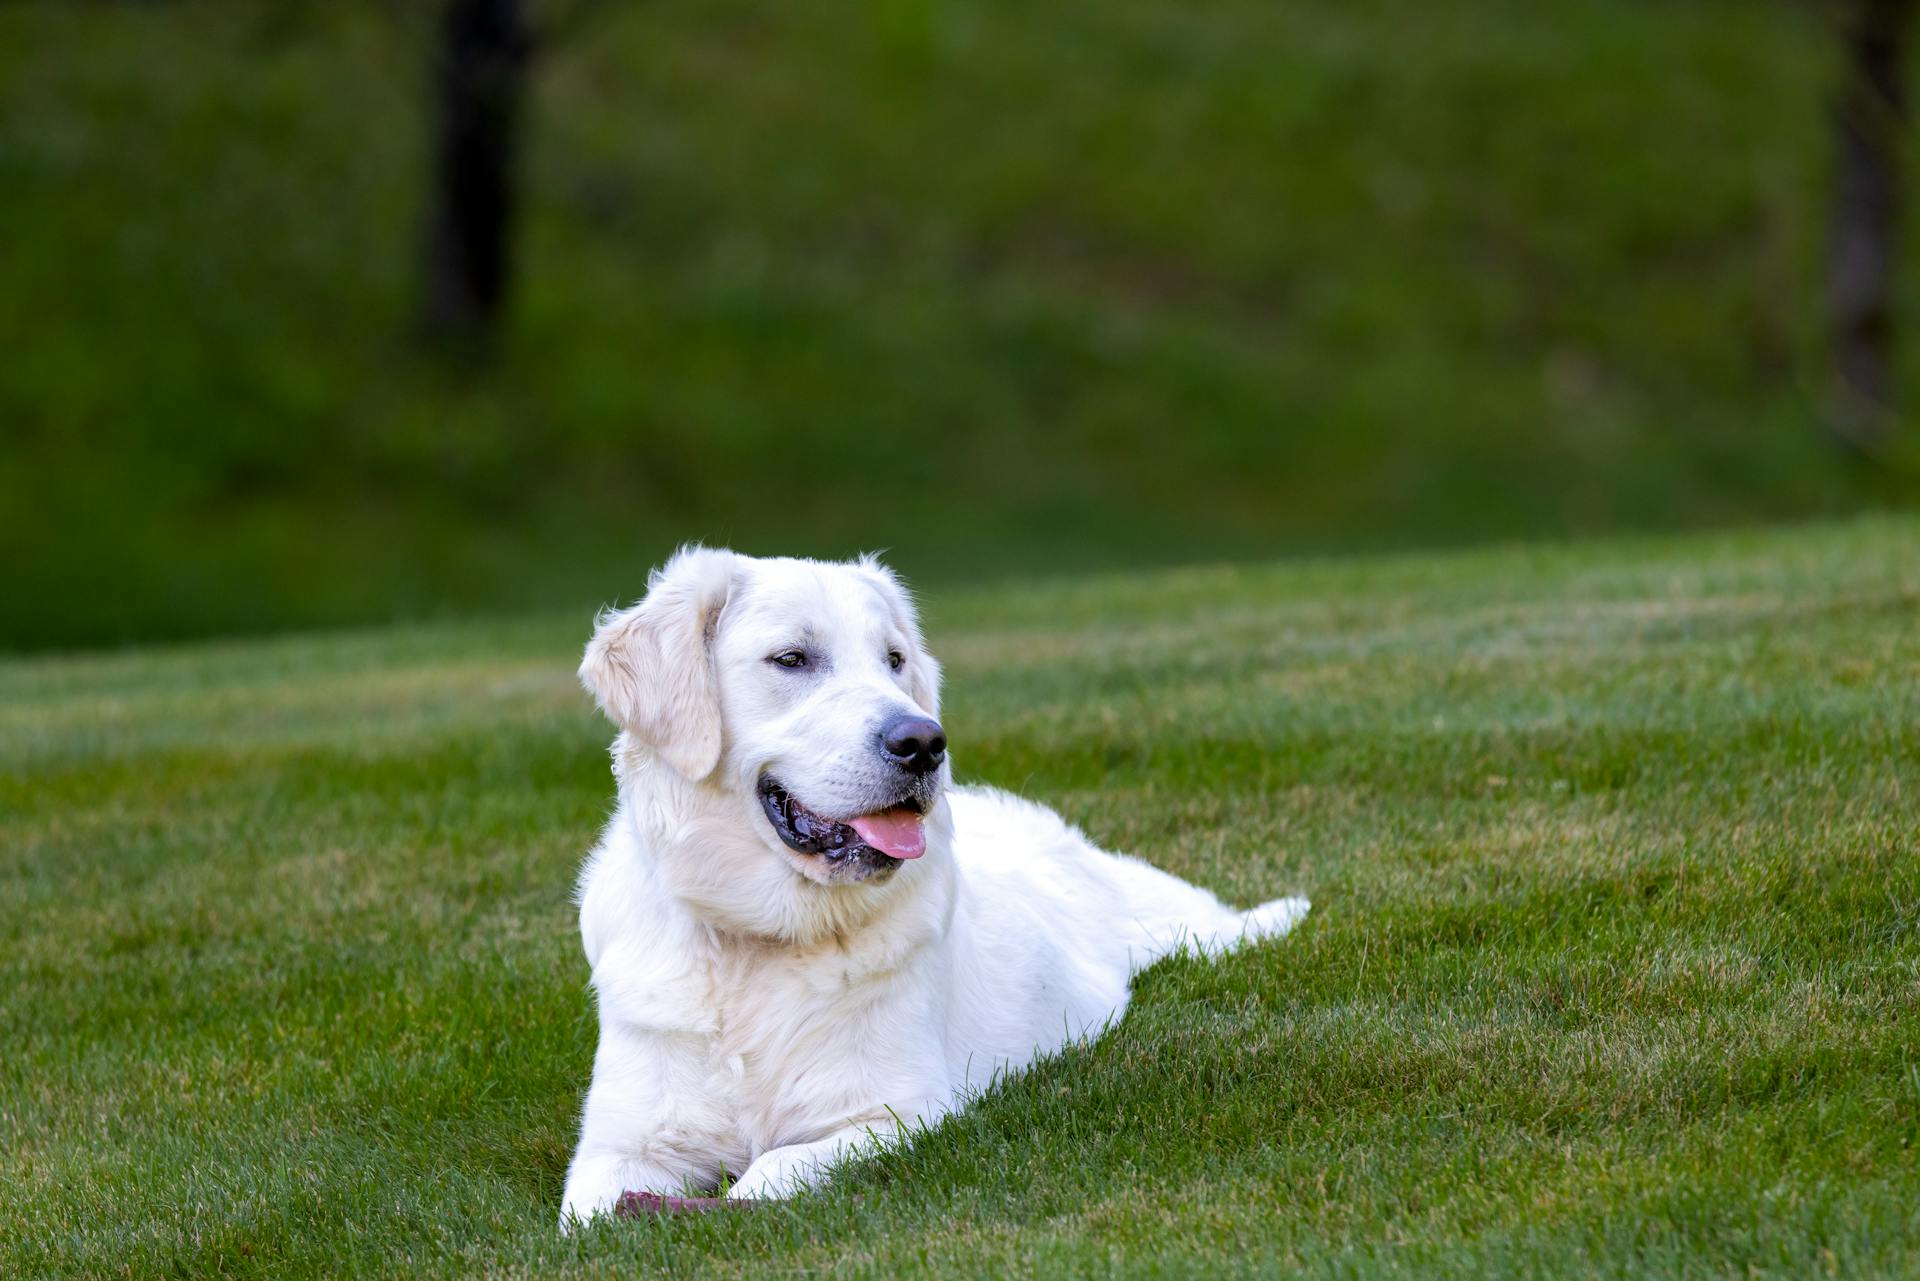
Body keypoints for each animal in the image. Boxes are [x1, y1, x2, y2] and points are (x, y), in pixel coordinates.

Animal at [556, 545, 1305, 1229]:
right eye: (792, 659)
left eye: (893, 659)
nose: (923, 742)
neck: (759, 942)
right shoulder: (616, 1149)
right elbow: (592, 1214)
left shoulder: (896, 1111)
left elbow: (768, 1172)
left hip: (1168, 924)